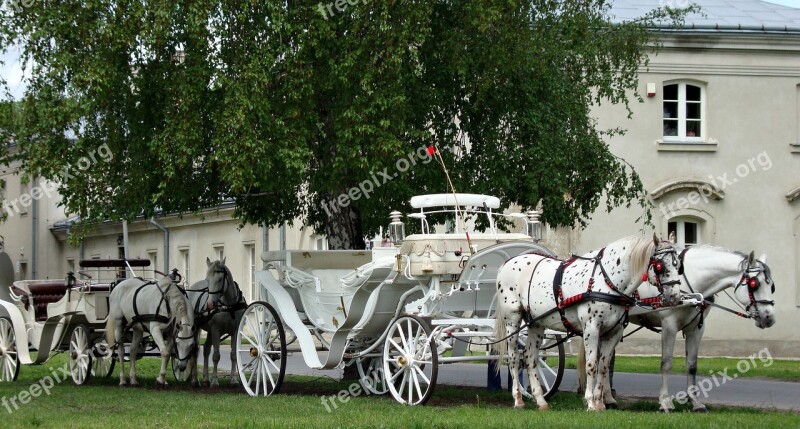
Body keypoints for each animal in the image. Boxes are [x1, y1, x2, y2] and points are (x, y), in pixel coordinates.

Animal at [186, 258, 245, 388]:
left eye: (219, 279)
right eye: (207, 280)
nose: (210, 304)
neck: (228, 306)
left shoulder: (235, 331)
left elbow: (233, 355)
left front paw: (233, 379)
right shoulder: (216, 331)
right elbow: (216, 356)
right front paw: (215, 381)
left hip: (210, 331)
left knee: (206, 349)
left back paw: (206, 378)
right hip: (196, 328)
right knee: (195, 351)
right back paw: (195, 380)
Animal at [494, 236, 680, 410]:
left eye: (678, 266)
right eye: (660, 266)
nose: (675, 297)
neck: (607, 280)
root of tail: (507, 263)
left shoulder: (614, 332)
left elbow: (603, 366)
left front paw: (600, 403)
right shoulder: (591, 328)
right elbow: (591, 364)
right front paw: (590, 402)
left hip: (536, 324)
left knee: (530, 356)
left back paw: (540, 400)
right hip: (513, 320)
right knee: (513, 357)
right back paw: (518, 399)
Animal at [624, 247, 776, 412]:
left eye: (772, 286)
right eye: (755, 284)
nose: (769, 318)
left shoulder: (696, 329)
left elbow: (692, 365)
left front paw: (695, 402)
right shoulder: (669, 325)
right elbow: (666, 363)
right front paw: (665, 401)